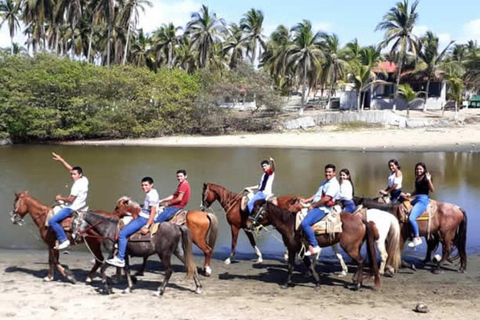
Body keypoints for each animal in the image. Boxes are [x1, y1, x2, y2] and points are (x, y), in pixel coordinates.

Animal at [246, 201, 380, 292]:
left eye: (257, 211)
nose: (248, 225)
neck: (289, 224)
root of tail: (361, 220)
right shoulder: (296, 250)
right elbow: (298, 266)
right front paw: (313, 283)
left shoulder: (296, 249)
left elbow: (301, 266)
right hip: (355, 247)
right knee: (360, 262)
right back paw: (357, 282)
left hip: (350, 248)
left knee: (360, 261)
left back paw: (356, 284)